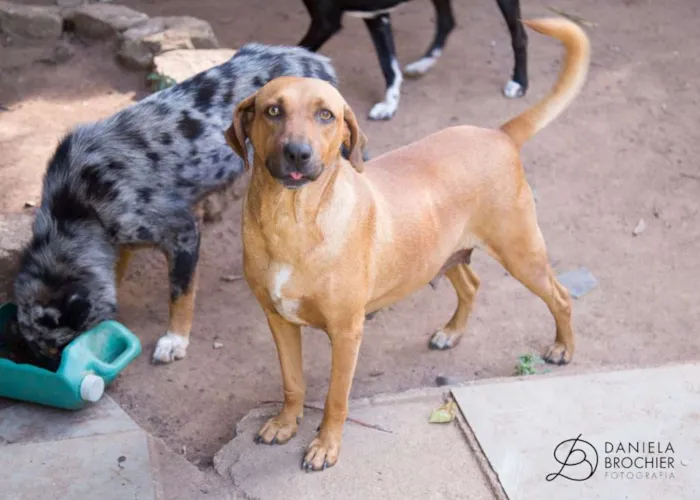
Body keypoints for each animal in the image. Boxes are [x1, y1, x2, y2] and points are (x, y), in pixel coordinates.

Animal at [10, 45, 340, 366]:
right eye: (39, 351)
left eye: (60, 347)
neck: (79, 205)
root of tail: (317, 60)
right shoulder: (120, 241)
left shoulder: (182, 231)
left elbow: (180, 294)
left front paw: (174, 342)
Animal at [226, 17, 592, 470]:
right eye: (273, 110)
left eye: (326, 115)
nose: (297, 153)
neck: (290, 219)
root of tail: (498, 134)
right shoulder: (278, 319)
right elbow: (292, 383)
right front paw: (284, 423)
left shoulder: (347, 332)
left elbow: (335, 399)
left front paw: (326, 445)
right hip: (444, 254)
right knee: (472, 285)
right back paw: (451, 333)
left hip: (521, 253)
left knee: (560, 296)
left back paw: (562, 348)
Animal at [298, 0, 528, 120]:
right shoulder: (377, 15)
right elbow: (389, 66)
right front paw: (390, 104)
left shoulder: (325, 22)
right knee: (447, 21)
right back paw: (423, 64)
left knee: (520, 37)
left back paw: (519, 82)